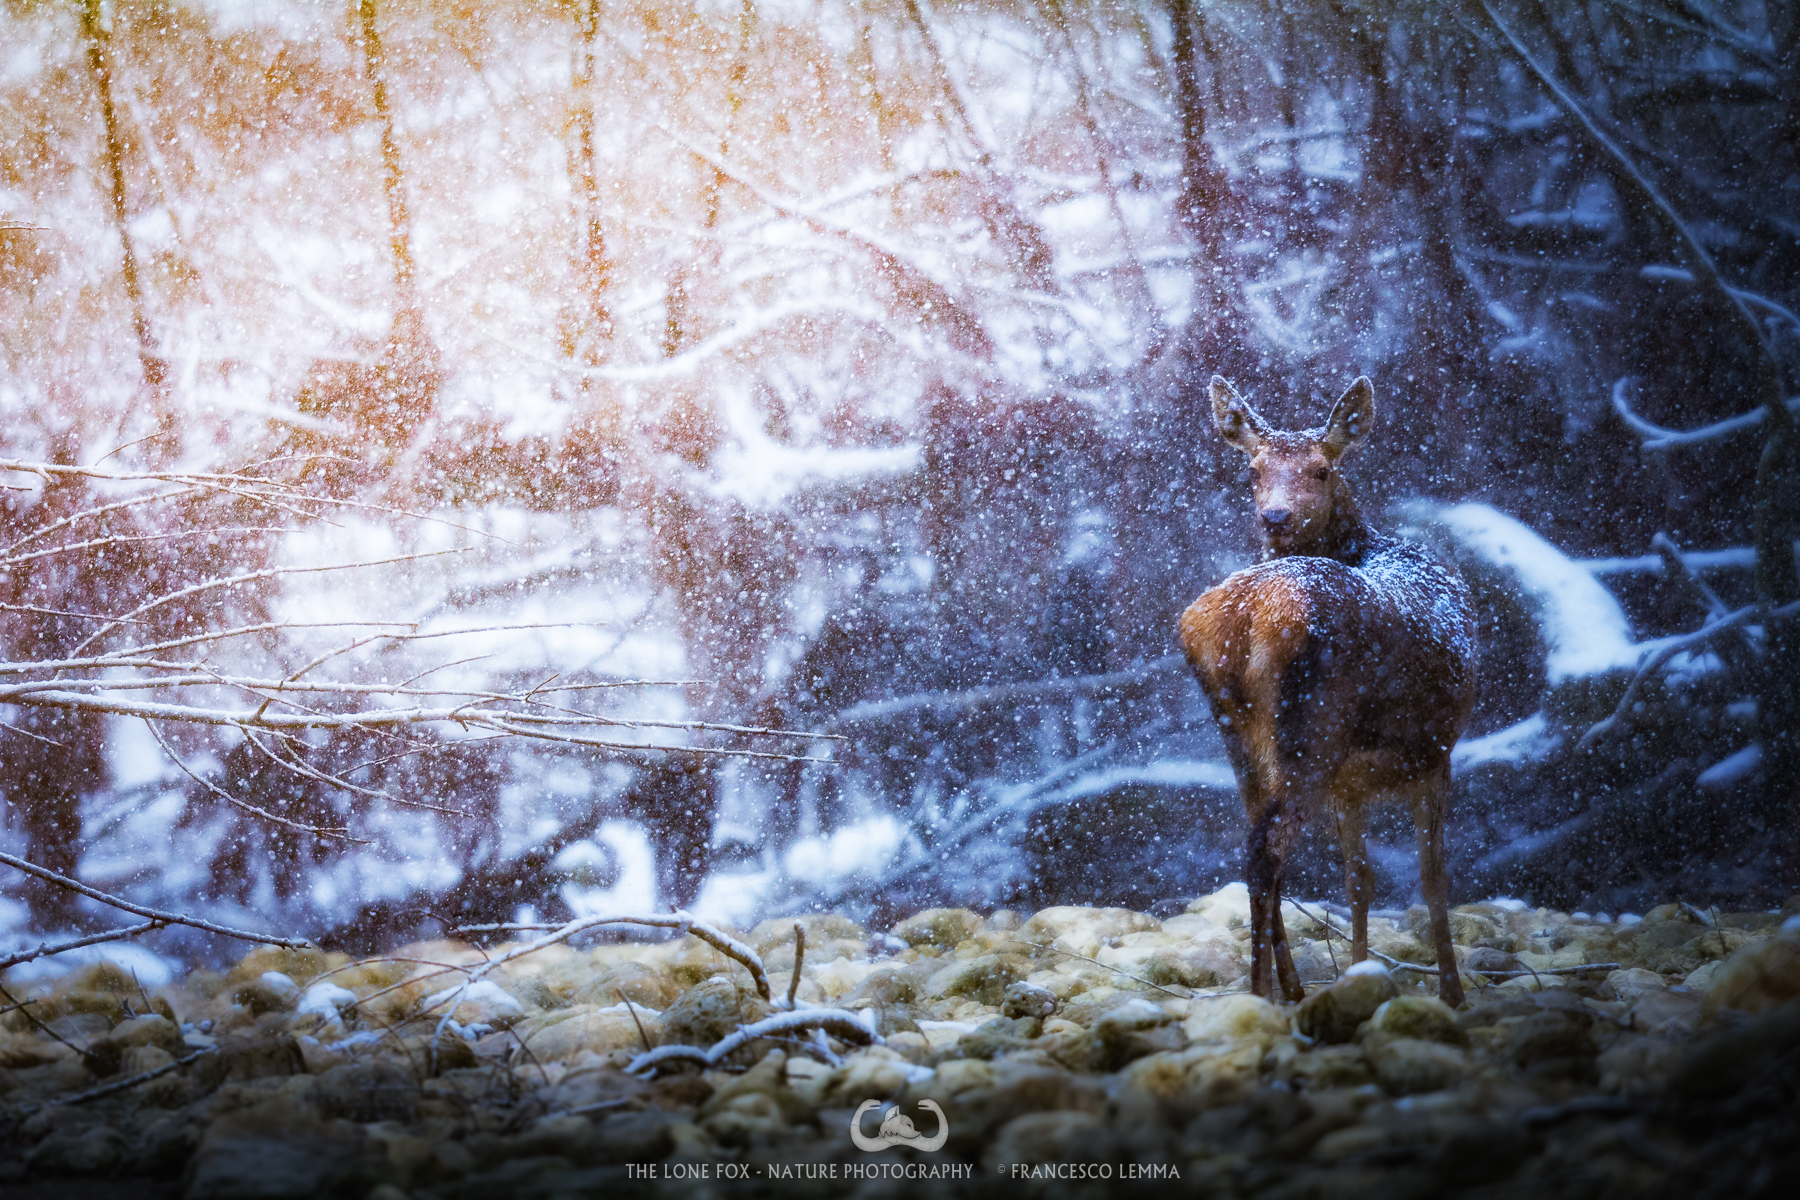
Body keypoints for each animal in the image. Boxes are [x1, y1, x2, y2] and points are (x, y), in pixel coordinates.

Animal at [1178, 375, 1477, 1007]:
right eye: (1253, 470)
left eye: (1320, 469)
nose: (1276, 515)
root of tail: (1247, 618)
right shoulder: (1436, 752)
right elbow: (1433, 878)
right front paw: (1453, 994)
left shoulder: (1351, 782)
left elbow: (1358, 877)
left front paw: (1360, 975)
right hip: (1310, 730)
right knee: (1266, 852)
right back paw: (1263, 993)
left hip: (1243, 741)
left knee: (1256, 842)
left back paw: (1290, 985)